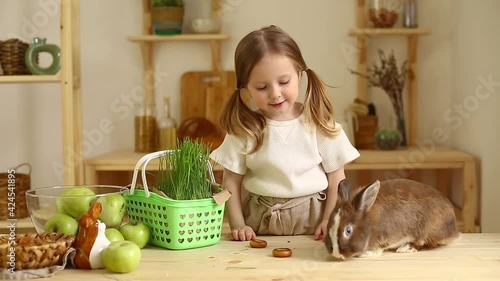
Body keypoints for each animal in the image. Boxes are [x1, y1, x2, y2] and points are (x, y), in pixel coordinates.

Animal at [324, 178, 460, 260]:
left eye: (348, 230)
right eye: (328, 226)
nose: (335, 253)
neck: (369, 223)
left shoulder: (384, 238)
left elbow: (378, 249)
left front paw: (366, 254)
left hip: (428, 231)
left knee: (427, 244)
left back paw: (406, 248)